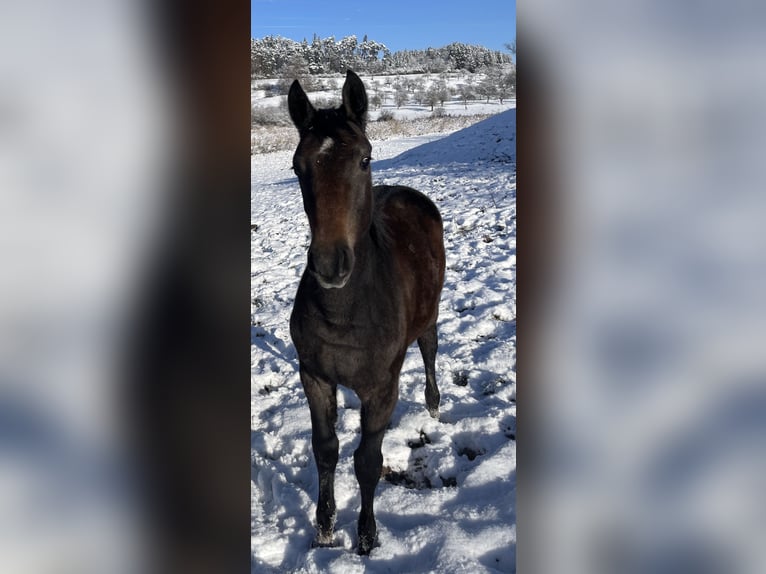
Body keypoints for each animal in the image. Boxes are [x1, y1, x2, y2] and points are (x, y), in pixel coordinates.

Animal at [290, 70, 448, 556]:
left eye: (364, 159)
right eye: (297, 167)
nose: (329, 264)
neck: (346, 311)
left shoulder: (380, 387)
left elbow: (367, 460)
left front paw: (366, 536)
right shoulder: (314, 376)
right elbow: (326, 448)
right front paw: (324, 528)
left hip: (429, 315)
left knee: (430, 349)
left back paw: (433, 405)